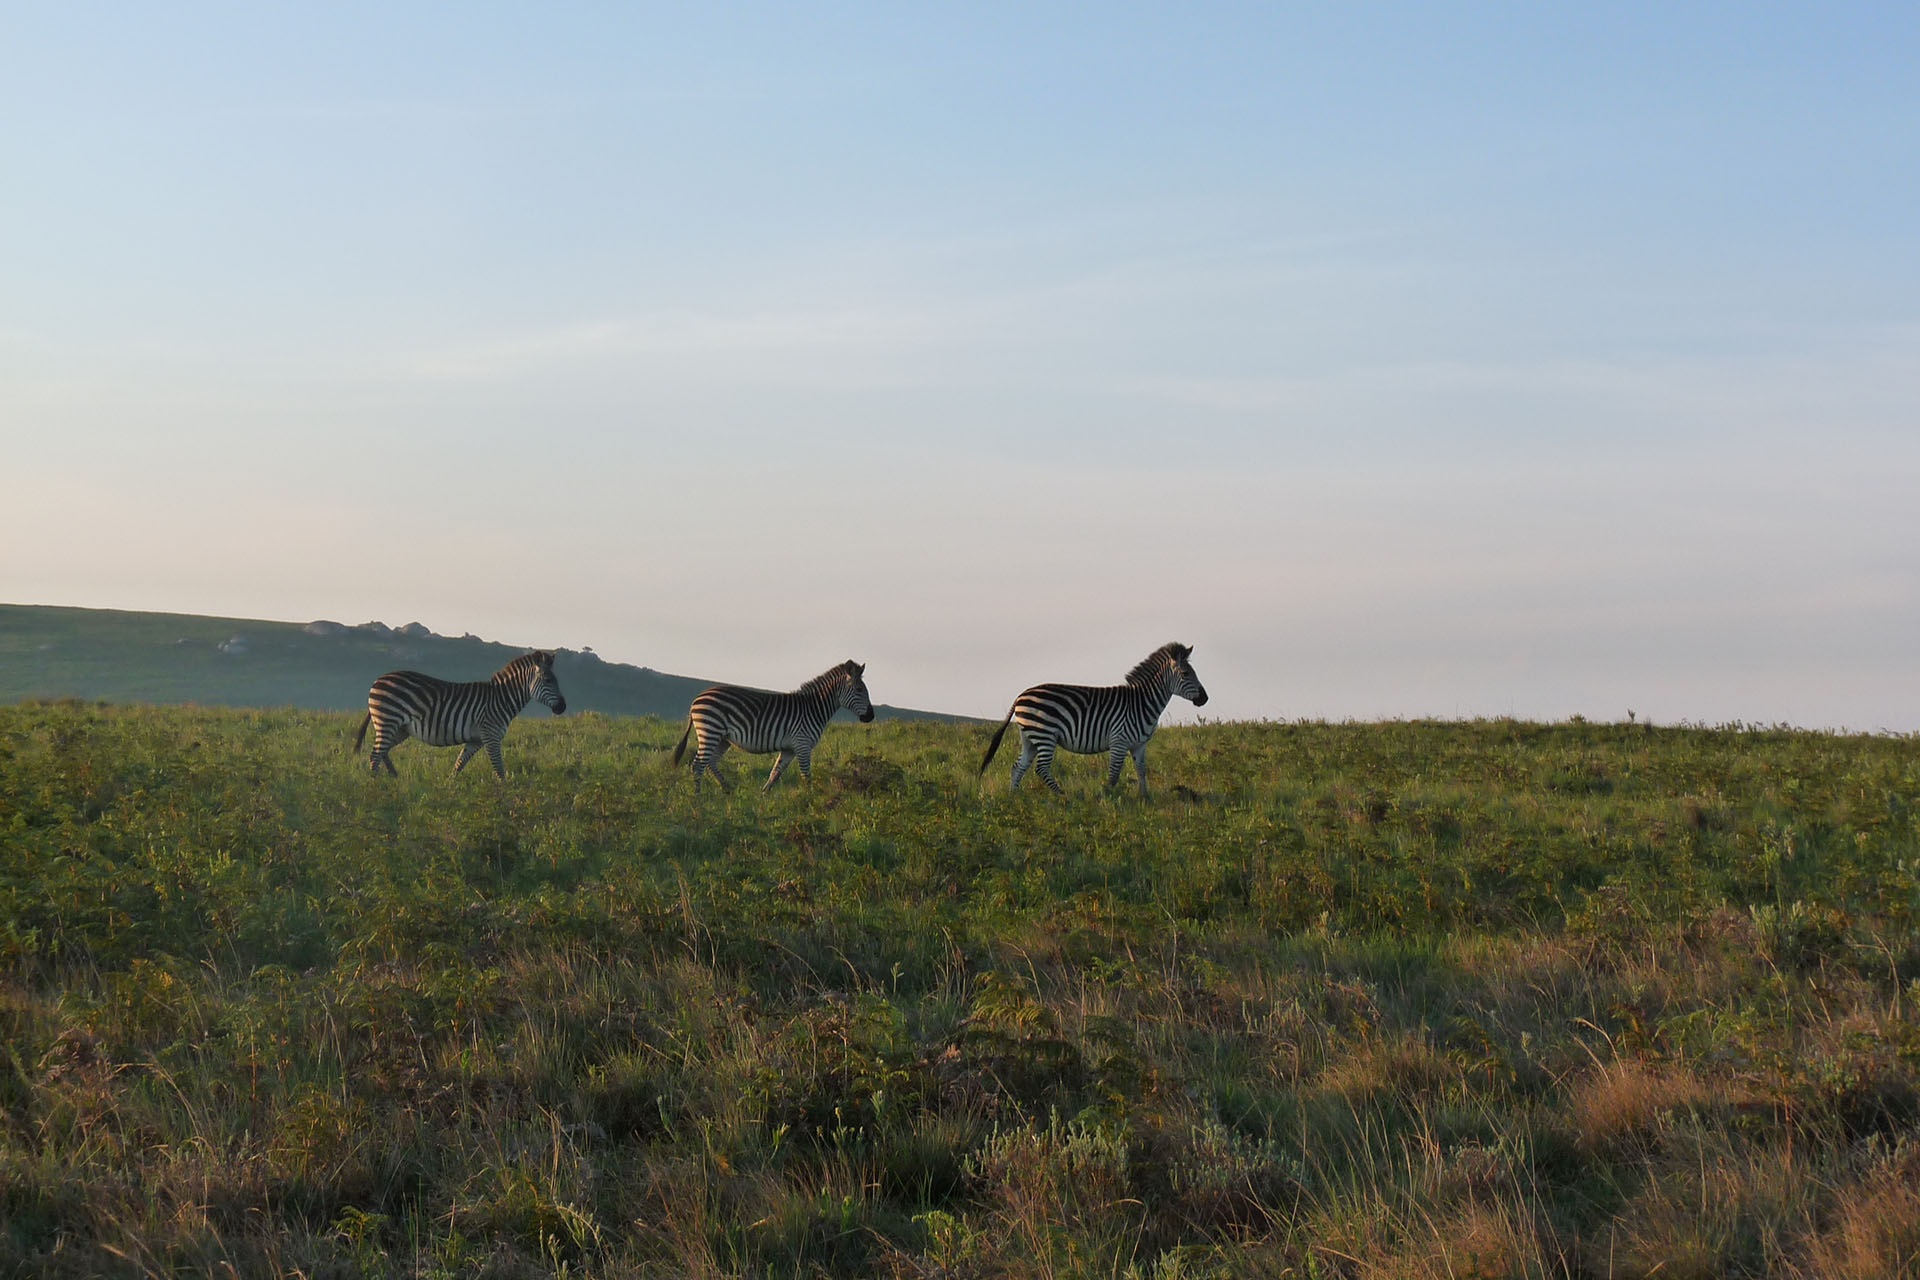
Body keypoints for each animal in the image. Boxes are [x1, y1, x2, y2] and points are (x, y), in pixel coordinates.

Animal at [352, 650, 566, 778]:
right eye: (548, 680)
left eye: (555, 680)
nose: (563, 707)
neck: (501, 699)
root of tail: (378, 680)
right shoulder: (491, 735)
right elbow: (499, 769)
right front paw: (506, 796)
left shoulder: (476, 740)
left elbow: (459, 764)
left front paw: (449, 788)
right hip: (388, 720)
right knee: (375, 755)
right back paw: (377, 786)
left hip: (401, 728)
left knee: (383, 752)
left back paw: (393, 778)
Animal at [672, 660, 875, 791]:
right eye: (859, 690)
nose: (871, 716)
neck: (814, 708)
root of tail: (696, 699)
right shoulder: (803, 744)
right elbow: (806, 776)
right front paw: (810, 801)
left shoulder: (790, 749)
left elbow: (775, 773)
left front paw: (764, 796)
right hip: (710, 731)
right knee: (698, 765)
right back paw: (697, 798)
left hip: (723, 738)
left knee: (711, 762)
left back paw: (727, 789)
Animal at [978, 642, 1208, 796]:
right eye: (1186, 674)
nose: (1205, 698)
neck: (1142, 703)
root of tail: (1021, 695)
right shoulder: (1119, 740)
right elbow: (1114, 773)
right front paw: (1108, 797)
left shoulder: (1139, 745)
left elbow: (1142, 770)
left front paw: (1145, 798)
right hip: (1045, 734)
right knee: (1041, 768)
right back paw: (1062, 796)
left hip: (1030, 738)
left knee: (1018, 767)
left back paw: (1014, 797)